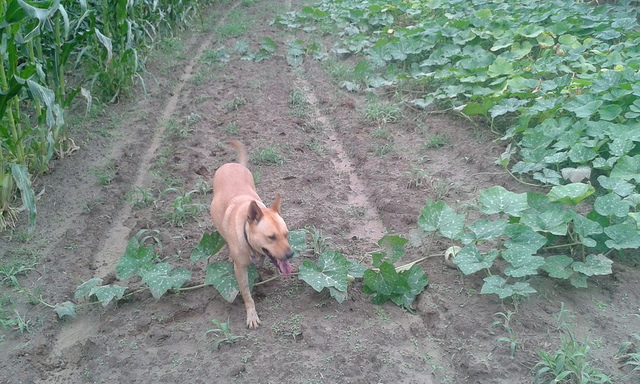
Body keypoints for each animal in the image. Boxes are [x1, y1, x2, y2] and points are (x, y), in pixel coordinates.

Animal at [210, 140, 292, 328]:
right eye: (271, 237)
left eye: (286, 234)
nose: (291, 254)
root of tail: (233, 164)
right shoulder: (240, 270)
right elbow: (247, 294)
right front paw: (251, 313)